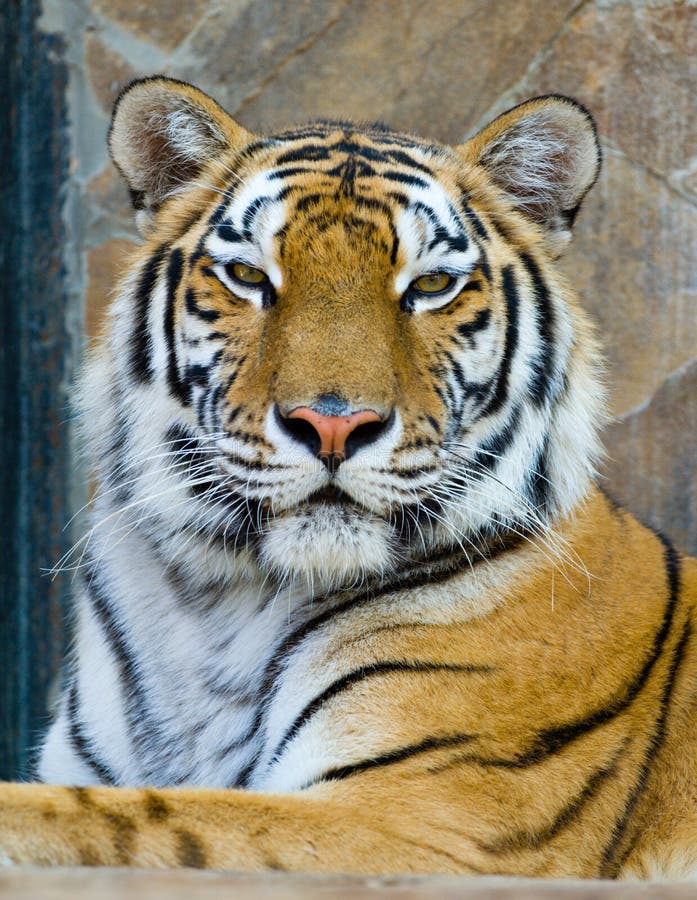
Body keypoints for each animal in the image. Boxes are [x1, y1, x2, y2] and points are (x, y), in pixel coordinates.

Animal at [0, 76, 695, 881]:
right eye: (249, 276)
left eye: (431, 285)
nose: (333, 425)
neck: (212, 607)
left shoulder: (423, 821)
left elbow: (123, 819)